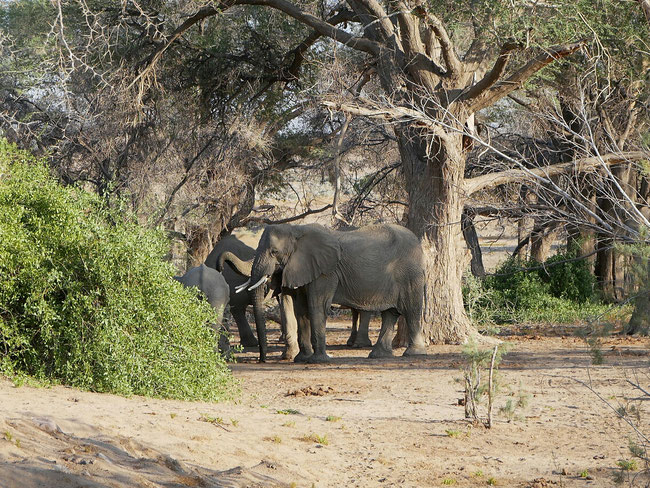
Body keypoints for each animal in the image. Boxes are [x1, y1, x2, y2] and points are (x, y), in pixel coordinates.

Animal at [246, 224, 422, 362]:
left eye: (274, 252)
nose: (262, 360)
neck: (297, 229)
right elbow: (301, 310)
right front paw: (302, 359)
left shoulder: (326, 272)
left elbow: (316, 306)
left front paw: (318, 361)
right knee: (390, 313)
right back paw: (379, 355)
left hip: (410, 274)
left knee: (411, 310)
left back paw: (413, 353)